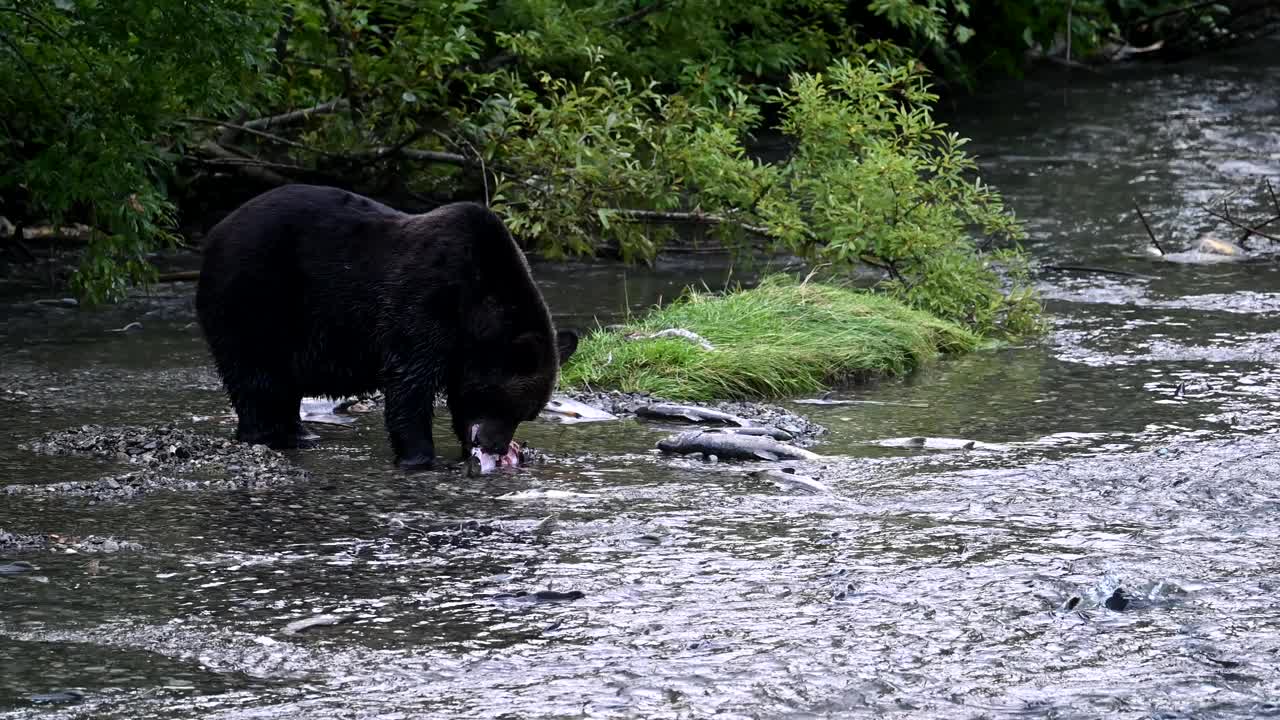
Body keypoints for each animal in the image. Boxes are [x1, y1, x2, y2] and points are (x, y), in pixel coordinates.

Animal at [195, 181, 581, 468]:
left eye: (526, 414)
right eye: (510, 407)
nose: (497, 447)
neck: (475, 310)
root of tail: (214, 233)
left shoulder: (460, 349)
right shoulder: (425, 303)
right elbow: (409, 384)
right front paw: (420, 457)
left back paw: (299, 432)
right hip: (254, 298)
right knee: (255, 376)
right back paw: (268, 435)